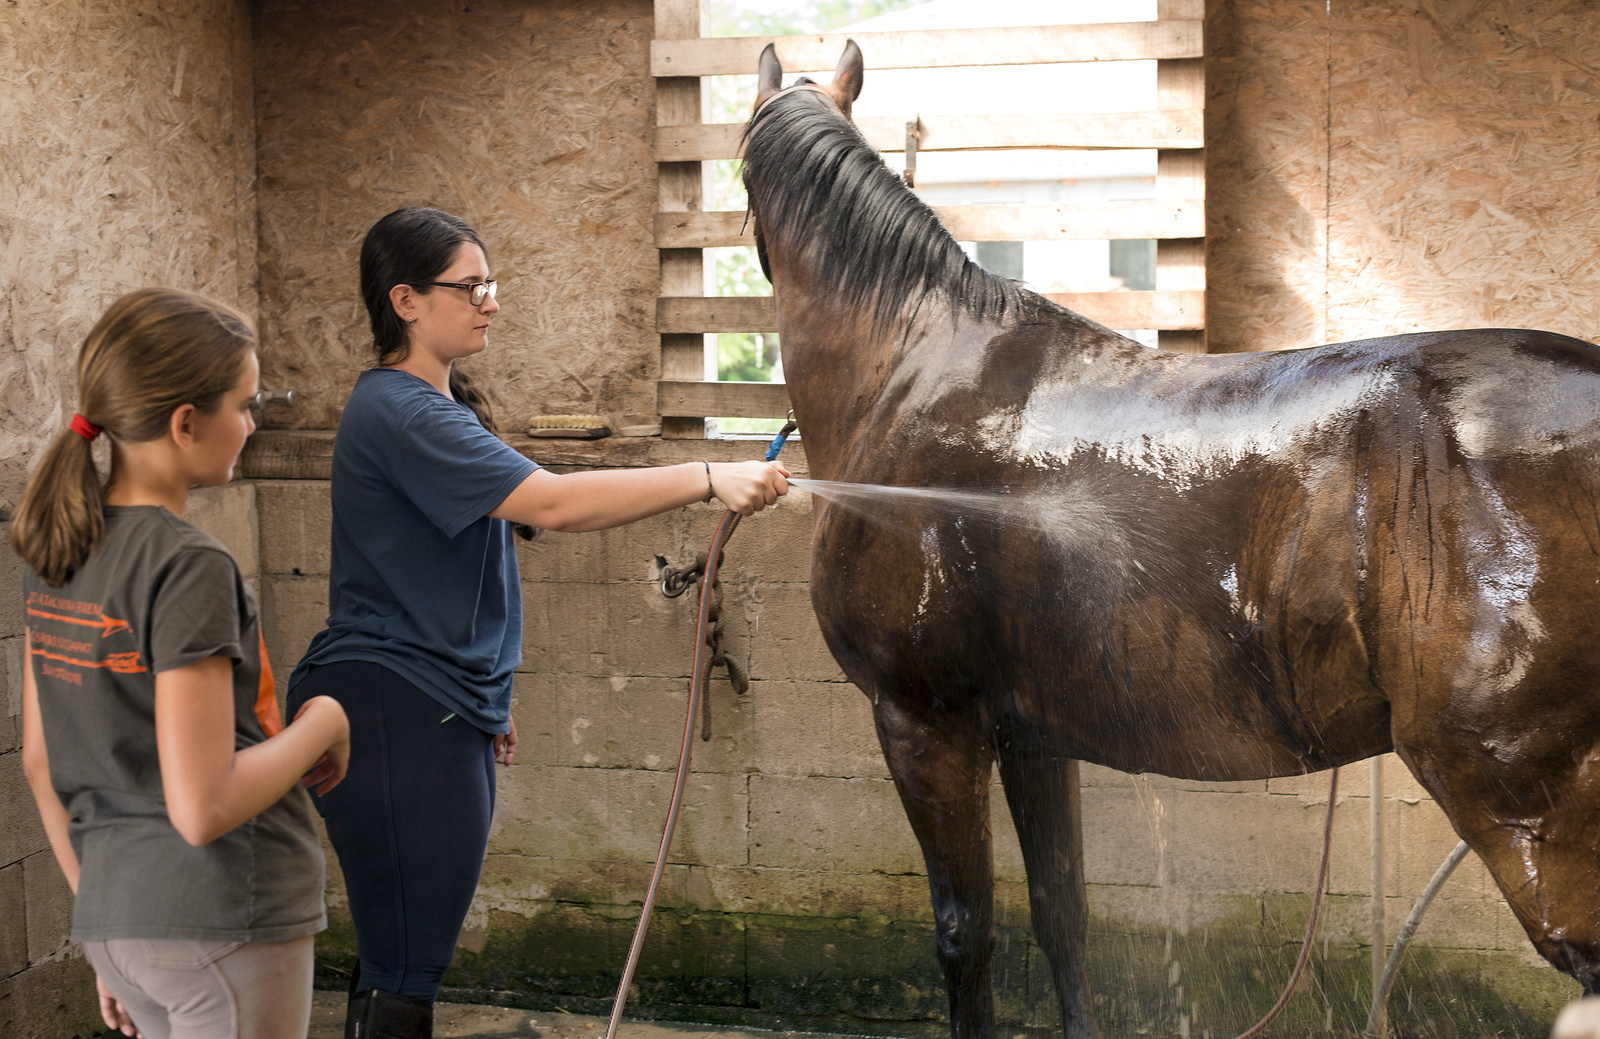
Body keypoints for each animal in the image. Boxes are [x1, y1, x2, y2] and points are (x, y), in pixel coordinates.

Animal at [742, 40, 1600, 1037]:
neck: (910, 369)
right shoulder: (1029, 735)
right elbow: (1060, 913)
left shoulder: (926, 722)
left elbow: (966, 936)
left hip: (1527, 808)